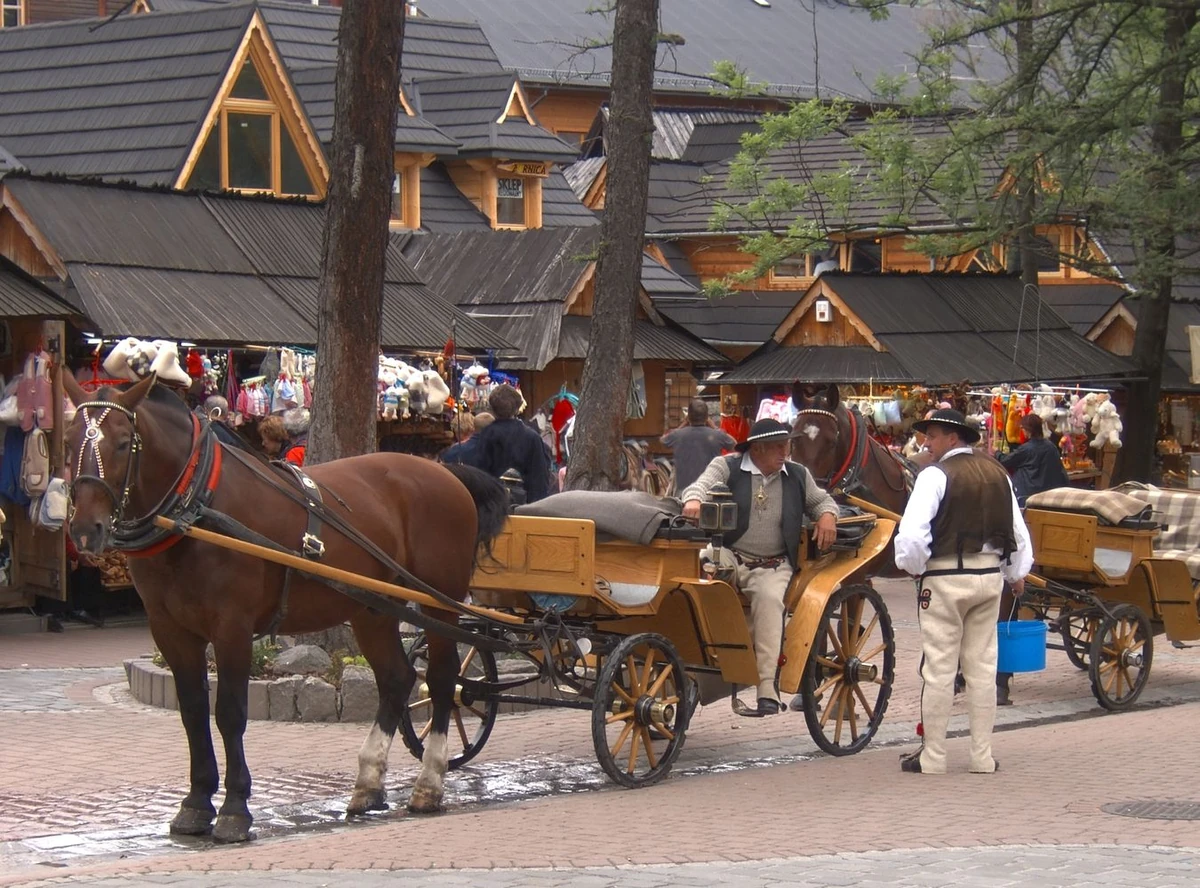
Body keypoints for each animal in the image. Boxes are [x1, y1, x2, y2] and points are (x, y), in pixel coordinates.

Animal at [63, 372, 504, 844]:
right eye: (69, 440)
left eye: (124, 442)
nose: (86, 529)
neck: (198, 508)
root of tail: (444, 471)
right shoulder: (171, 631)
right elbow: (194, 713)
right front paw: (196, 803)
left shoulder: (232, 627)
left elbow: (229, 714)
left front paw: (234, 809)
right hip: (373, 608)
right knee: (396, 679)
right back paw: (368, 783)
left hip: (438, 603)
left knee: (441, 681)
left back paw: (429, 782)